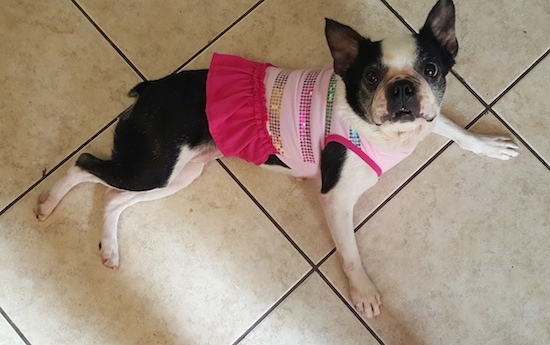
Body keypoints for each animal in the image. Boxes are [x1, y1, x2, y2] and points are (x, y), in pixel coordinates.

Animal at [34, 0, 520, 318]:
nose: (402, 88)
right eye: (370, 76)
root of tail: (151, 88)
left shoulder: (426, 118)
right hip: (155, 167)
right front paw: (362, 291)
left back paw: (110, 249)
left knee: (114, 197)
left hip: (176, 175)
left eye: (431, 70)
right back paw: (48, 204)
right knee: (85, 164)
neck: (384, 129)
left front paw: (491, 146)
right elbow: (350, 252)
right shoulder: (336, 200)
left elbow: (455, 131)